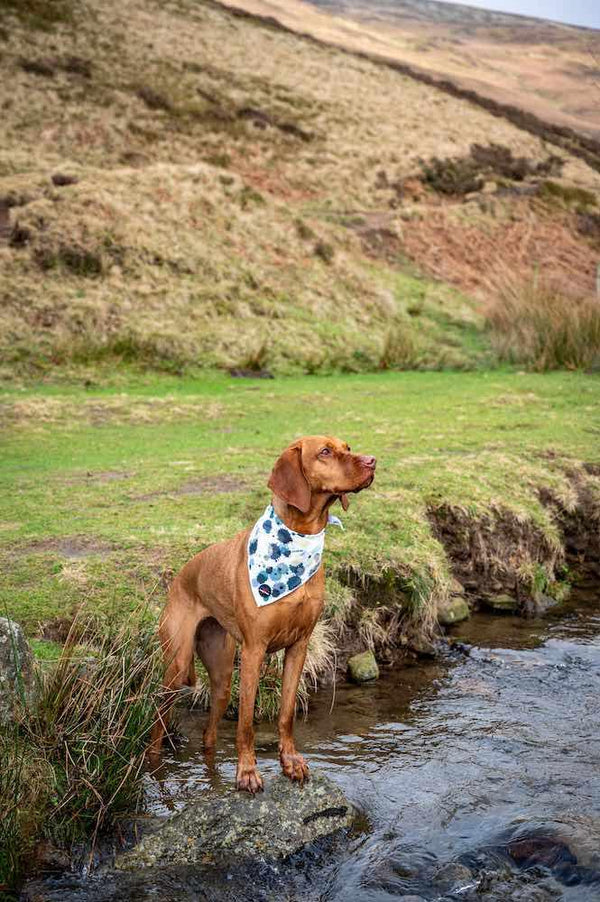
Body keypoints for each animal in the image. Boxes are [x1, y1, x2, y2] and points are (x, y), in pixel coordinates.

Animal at [149, 434, 376, 796]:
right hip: (178, 664)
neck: (299, 536)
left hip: (222, 675)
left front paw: (291, 761)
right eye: (325, 452)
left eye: (348, 448)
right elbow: (245, 722)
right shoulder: (254, 650)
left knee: (209, 733)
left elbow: (286, 713)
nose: (372, 461)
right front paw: (246, 772)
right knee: (159, 721)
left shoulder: (299, 646)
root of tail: (182, 574)